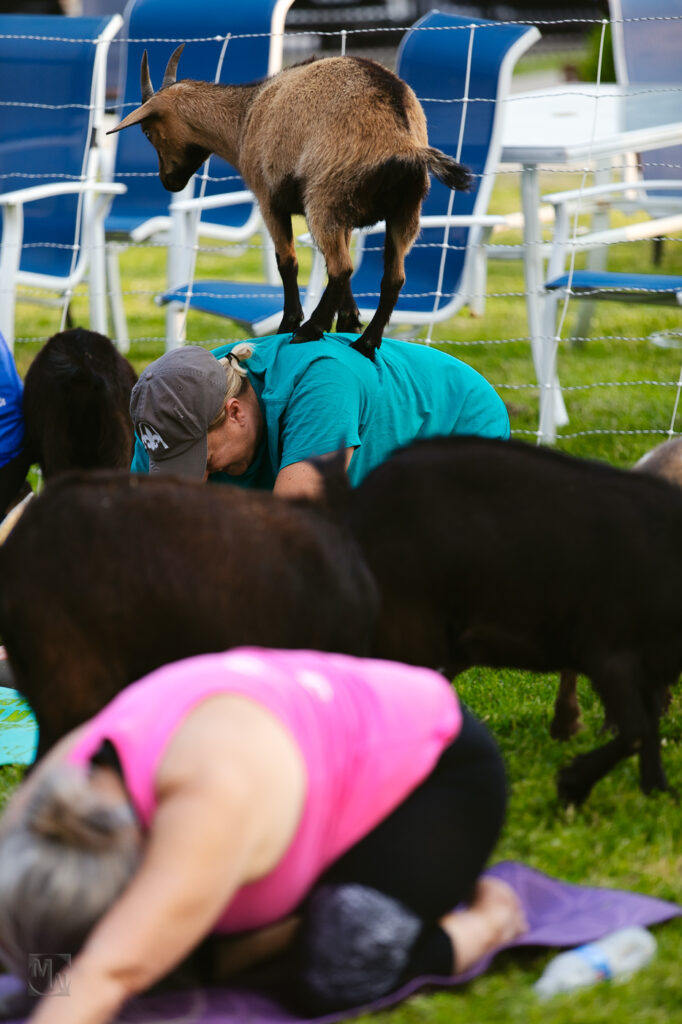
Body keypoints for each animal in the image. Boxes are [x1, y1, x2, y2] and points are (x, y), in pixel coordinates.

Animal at [107, 48, 466, 360]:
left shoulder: (269, 199)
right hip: (403, 211)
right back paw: (365, 342)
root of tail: (403, 140)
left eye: (148, 132)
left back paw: (309, 330)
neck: (246, 115)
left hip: (325, 197)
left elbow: (288, 263)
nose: (169, 182)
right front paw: (349, 320)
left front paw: (289, 323)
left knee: (342, 267)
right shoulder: (346, 218)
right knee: (392, 277)